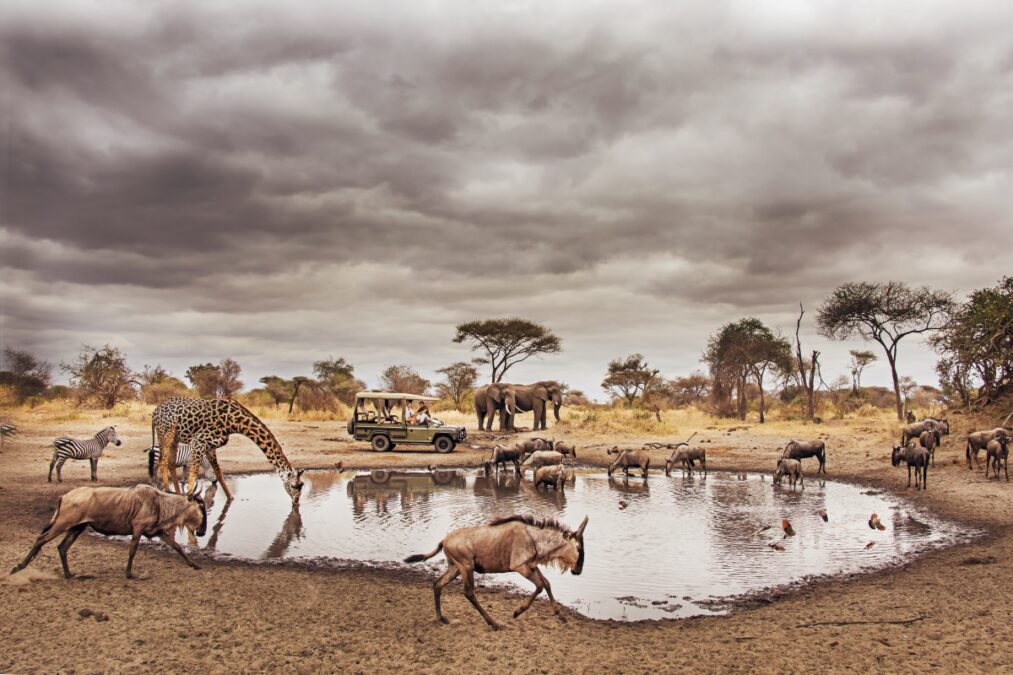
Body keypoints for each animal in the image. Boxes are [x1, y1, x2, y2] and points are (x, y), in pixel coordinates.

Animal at [147, 397, 301, 502]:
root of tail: (154, 412)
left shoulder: (211, 446)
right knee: (163, 462)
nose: (296, 502)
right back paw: (168, 492)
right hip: (166, 433)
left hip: (174, 438)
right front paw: (190, 499)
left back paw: (177, 493)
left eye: (302, 485)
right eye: (295, 486)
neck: (234, 423)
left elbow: (219, 473)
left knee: (171, 463)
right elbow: (193, 476)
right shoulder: (198, 442)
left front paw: (231, 498)